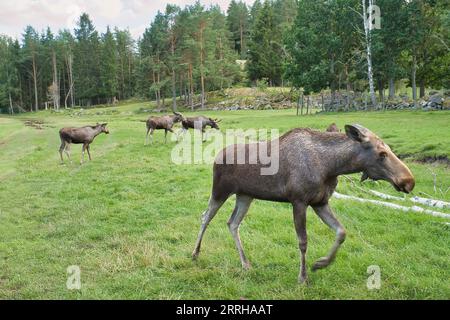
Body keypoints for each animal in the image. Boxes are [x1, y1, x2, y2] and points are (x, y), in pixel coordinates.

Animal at [192, 124, 416, 282]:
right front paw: (303, 276)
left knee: (232, 223)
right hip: (220, 190)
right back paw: (195, 253)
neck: (332, 167)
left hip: (245, 195)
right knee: (205, 216)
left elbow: (341, 232)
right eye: (382, 154)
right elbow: (303, 241)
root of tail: (216, 156)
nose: (409, 181)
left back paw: (245, 263)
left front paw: (321, 264)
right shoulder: (298, 201)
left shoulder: (320, 202)